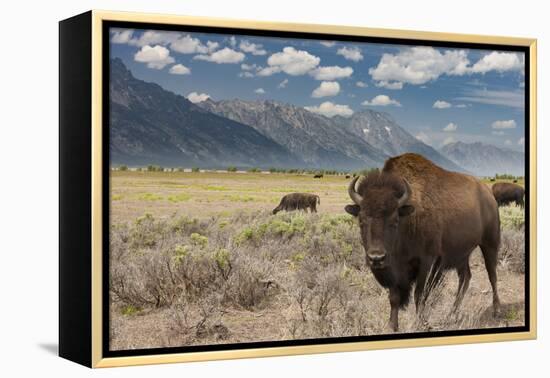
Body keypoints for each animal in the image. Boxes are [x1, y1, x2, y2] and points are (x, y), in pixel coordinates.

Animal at [348, 154, 502, 330]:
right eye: (361, 220)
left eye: (395, 221)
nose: (376, 258)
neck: (408, 218)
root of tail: (489, 195)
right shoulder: (395, 269)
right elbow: (394, 298)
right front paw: (392, 326)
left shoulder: (426, 262)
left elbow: (420, 294)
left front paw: (420, 322)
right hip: (462, 254)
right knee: (465, 277)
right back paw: (452, 314)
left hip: (490, 243)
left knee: (492, 275)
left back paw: (497, 311)